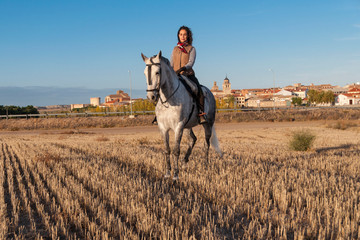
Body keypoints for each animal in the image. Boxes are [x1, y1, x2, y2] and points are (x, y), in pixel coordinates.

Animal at [141, 52, 222, 180]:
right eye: (144, 73)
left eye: (157, 72)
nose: (151, 97)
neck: (168, 100)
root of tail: (210, 92)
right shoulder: (163, 128)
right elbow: (167, 150)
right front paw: (167, 173)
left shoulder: (178, 127)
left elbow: (176, 150)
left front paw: (175, 175)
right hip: (188, 126)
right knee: (192, 140)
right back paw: (184, 162)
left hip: (208, 124)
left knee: (206, 143)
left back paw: (205, 164)